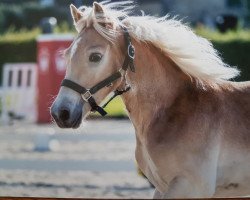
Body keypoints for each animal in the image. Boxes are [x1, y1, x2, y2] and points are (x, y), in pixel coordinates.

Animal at [50, 1, 250, 198]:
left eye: (95, 56)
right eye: (67, 55)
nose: (61, 112)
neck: (176, 109)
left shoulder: (190, 186)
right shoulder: (162, 188)